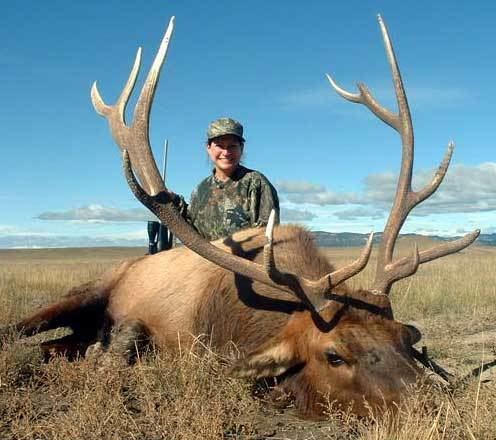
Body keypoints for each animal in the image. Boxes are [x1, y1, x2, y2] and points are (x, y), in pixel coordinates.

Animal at [8, 15, 480, 418]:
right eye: (334, 355)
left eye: (403, 336)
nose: (433, 405)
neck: (234, 322)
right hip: (89, 290)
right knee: (24, 331)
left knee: (60, 343)